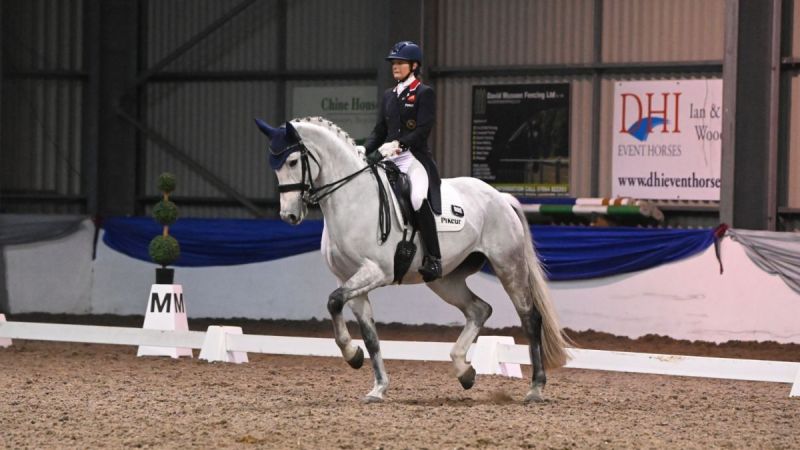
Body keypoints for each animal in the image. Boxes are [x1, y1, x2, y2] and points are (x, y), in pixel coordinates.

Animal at [255, 116, 570, 403]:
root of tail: (501, 197)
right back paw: (464, 371)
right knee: (479, 309)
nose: (289, 215)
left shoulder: (376, 272)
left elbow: (333, 301)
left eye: (292, 161)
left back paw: (535, 388)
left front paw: (353, 356)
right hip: (444, 279)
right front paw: (376, 385)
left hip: (508, 265)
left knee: (530, 318)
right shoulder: (350, 279)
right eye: (274, 165)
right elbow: (368, 334)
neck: (352, 199)